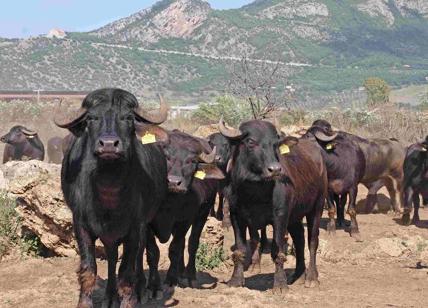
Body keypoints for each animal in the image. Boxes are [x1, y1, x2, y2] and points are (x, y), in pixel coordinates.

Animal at [56, 88, 170, 306]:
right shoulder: (81, 225)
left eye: (128, 117)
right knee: (111, 256)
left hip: (150, 220)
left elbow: (126, 272)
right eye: (91, 118)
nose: (109, 145)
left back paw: (147, 289)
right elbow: (89, 269)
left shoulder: (135, 227)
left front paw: (129, 300)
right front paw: (85, 302)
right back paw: (110, 296)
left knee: (148, 253)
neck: (108, 195)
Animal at [145, 131, 222, 296]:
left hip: (203, 213)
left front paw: (170, 280)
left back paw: (189, 275)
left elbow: (174, 249)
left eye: (192, 161)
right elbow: (153, 252)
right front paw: (153, 285)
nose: (174, 182)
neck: (168, 202)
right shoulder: (146, 222)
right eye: (166, 156)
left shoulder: (184, 221)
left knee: (192, 243)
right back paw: (179, 272)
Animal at [219, 118, 326, 292]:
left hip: (317, 207)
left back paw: (311, 277)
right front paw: (235, 280)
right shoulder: (236, 216)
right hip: (295, 217)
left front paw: (280, 284)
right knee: (299, 239)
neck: (254, 192)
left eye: (275, 143)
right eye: (251, 141)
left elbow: (278, 251)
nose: (275, 169)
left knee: (312, 241)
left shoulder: (280, 216)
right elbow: (240, 249)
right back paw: (298, 274)